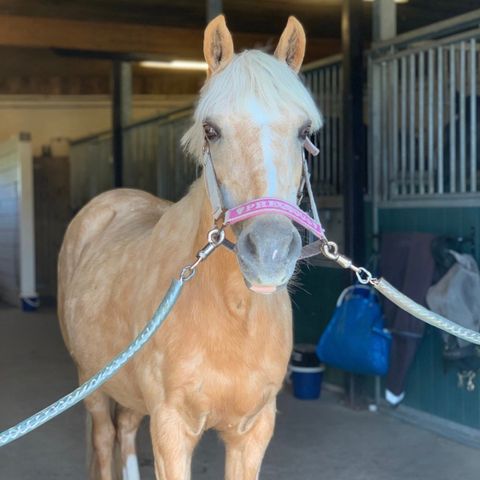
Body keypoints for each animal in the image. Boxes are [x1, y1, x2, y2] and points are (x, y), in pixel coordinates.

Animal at [57, 15, 322, 480]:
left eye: (304, 132)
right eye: (210, 131)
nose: (270, 253)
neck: (233, 314)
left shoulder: (253, 432)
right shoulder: (172, 430)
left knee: (126, 432)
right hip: (92, 382)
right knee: (105, 439)